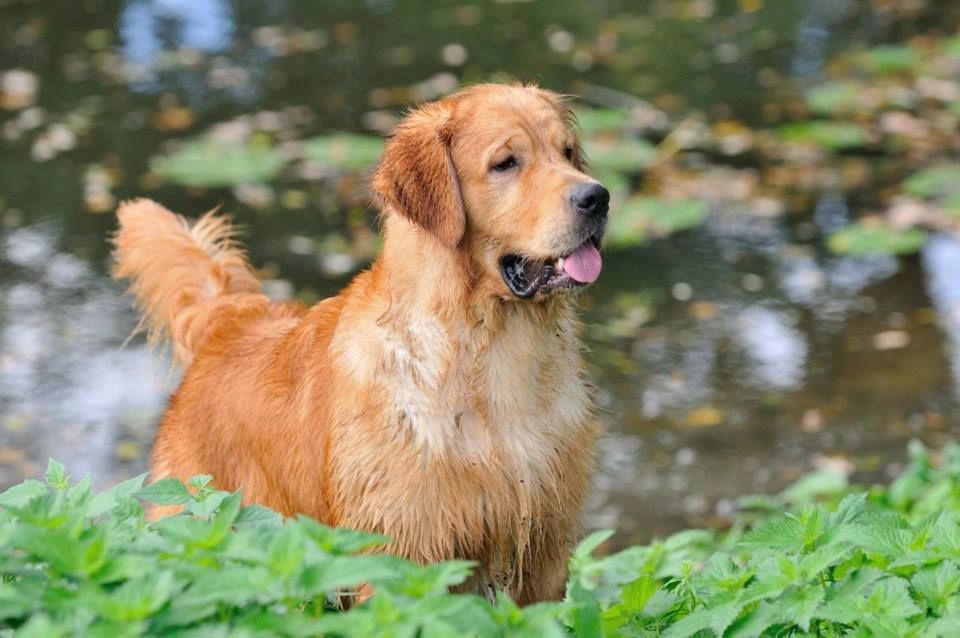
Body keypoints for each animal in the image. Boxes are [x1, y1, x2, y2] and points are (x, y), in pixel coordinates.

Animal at [112, 84, 608, 604]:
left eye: (567, 152)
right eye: (506, 162)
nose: (597, 197)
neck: (489, 351)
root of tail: (230, 322)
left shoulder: (545, 546)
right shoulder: (402, 546)